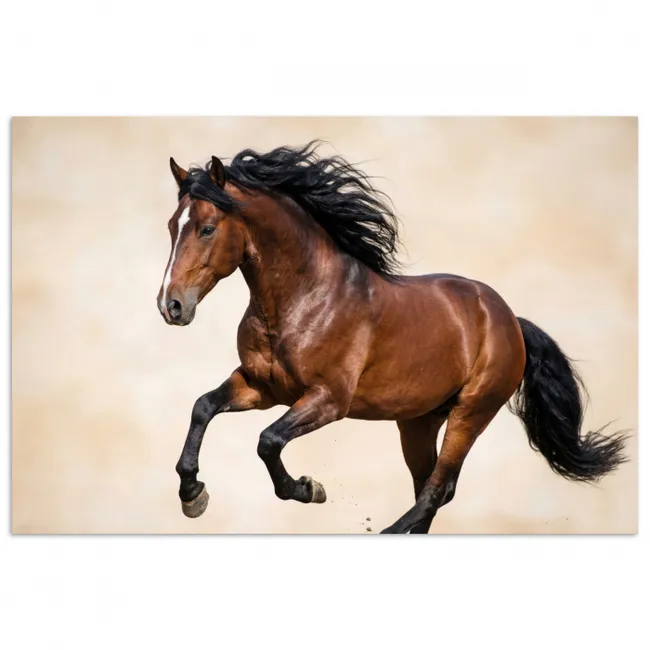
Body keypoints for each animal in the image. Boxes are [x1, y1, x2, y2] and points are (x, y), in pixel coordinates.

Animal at [157, 141, 628, 534]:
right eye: (172, 226)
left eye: (207, 229)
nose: (170, 305)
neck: (304, 298)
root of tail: (510, 319)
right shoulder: (262, 387)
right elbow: (203, 407)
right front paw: (193, 496)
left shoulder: (328, 400)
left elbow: (268, 441)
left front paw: (309, 489)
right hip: (418, 421)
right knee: (432, 488)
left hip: (472, 412)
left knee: (436, 490)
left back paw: (388, 530)